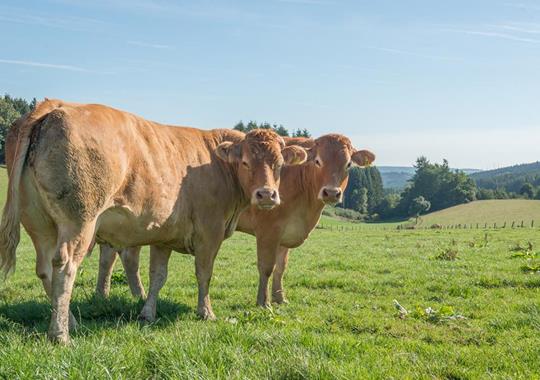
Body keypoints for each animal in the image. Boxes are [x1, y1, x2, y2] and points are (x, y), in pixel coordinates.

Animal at [0, 99, 306, 342]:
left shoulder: (164, 235)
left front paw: (147, 313)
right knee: (64, 268)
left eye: (279, 165)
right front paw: (206, 312)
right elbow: (204, 273)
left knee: (44, 270)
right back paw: (60, 334)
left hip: (39, 224)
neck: (216, 164)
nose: (267, 194)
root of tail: (53, 105)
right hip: (79, 222)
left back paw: (71, 321)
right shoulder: (210, 231)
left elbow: (158, 276)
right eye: (244, 162)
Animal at [96, 135, 376, 308]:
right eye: (318, 161)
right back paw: (130, 295)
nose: (331, 192)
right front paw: (263, 302)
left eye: (348, 165)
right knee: (125, 257)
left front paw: (280, 298)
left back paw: (109, 294)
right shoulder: (269, 230)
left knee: (113, 256)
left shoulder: (286, 233)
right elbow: (266, 267)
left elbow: (281, 268)